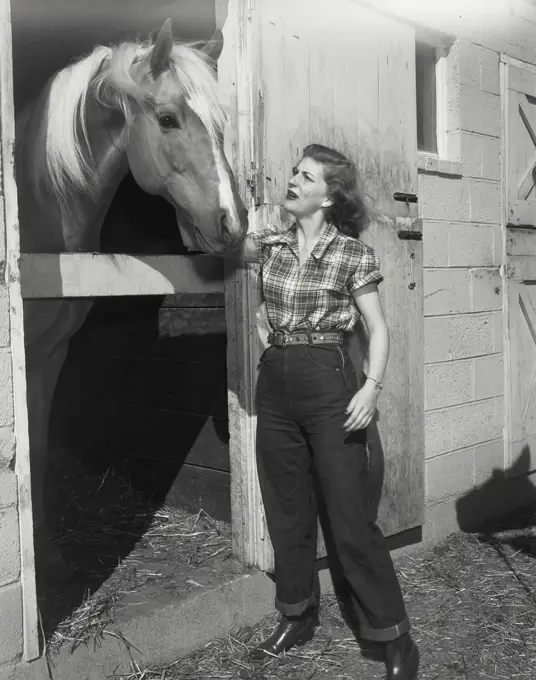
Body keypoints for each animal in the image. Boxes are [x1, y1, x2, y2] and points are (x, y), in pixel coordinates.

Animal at [15, 18, 249, 576]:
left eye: (222, 126)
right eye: (166, 119)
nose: (232, 223)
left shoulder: (49, 353)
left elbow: (36, 444)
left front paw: (45, 551)